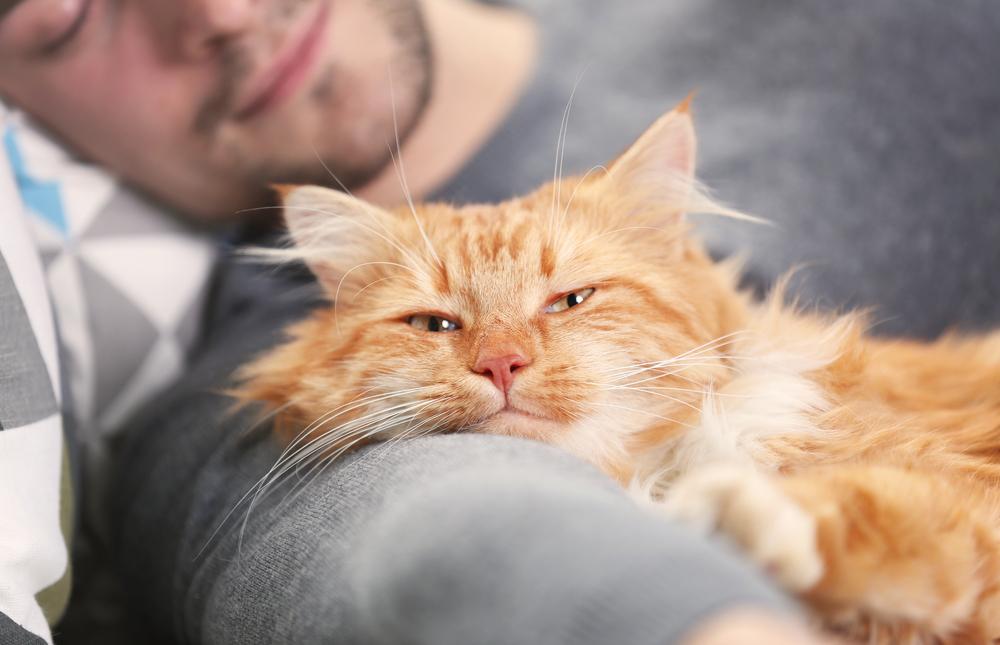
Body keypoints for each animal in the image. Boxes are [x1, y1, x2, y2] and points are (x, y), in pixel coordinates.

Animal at [238, 103, 1000, 640]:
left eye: (571, 300)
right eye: (435, 325)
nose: (501, 362)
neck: (646, 476)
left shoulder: (967, 487)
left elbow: (891, 511)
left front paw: (743, 511)